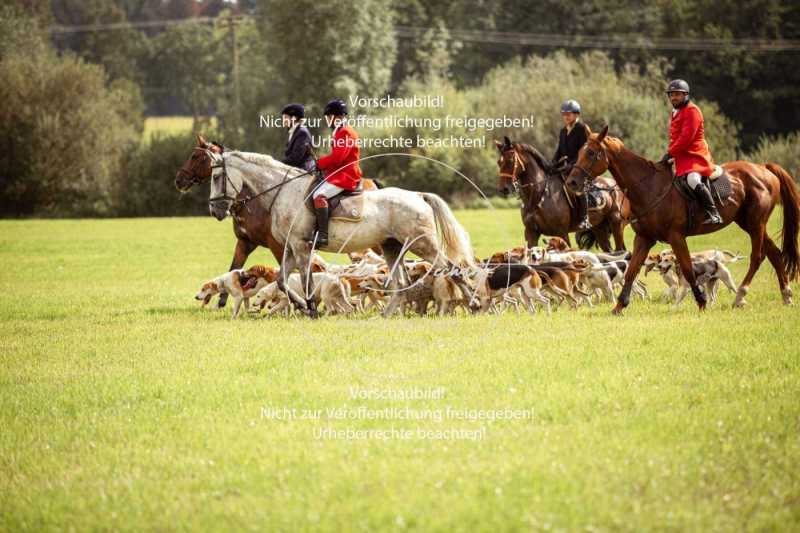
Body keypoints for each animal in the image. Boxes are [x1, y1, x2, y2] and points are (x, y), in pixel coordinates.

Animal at [173, 133, 380, 308]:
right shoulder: (245, 242)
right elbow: (235, 267)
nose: (178, 181)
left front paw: (302, 303)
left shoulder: (280, 245)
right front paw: (222, 300)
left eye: (195, 157)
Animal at [205, 149, 476, 316]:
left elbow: (306, 279)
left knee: (453, 269)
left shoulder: (301, 246)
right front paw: (302, 306)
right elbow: (282, 280)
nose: (215, 210)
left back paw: (474, 304)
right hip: (392, 247)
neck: (284, 192)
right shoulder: (291, 247)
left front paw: (311, 309)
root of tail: (418, 196)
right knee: (401, 283)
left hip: (423, 245)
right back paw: (384, 315)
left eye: (216, 176)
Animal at [494, 137, 632, 254]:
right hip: (600, 229)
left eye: (511, 161)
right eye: (499, 162)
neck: (539, 195)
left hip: (617, 225)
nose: (503, 189)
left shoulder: (561, 233)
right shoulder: (531, 233)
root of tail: (618, 187)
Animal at [564, 126, 796, 314]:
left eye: (591, 153)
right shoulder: (644, 238)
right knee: (775, 254)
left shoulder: (676, 237)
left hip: (756, 224)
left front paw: (701, 302)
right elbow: (631, 270)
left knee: (758, 257)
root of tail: (763, 168)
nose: (571, 182)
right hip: (750, 223)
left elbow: (687, 268)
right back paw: (786, 295)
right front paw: (619, 306)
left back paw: (740, 296)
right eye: (579, 152)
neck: (649, 187)